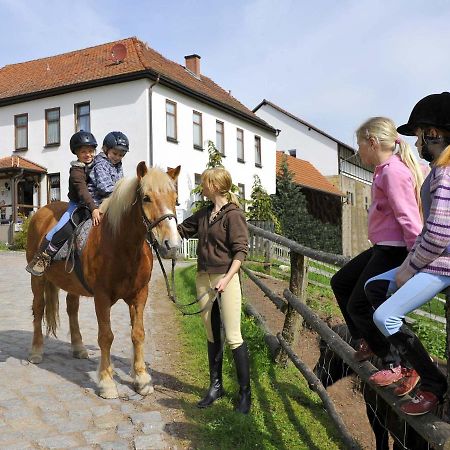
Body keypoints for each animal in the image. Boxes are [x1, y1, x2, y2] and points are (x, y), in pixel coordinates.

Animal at [25, 162, 181, 398]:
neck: (120, 244)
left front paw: (142, 379)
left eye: (175, 198)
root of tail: (41, 212)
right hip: (38, 280)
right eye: (146, 198)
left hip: (72, 284)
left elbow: (138, 334)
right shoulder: (102, 297)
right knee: (39, 308)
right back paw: (36, 351)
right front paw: (107, 382)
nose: (171, 245)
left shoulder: (139, 295)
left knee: (72, 308)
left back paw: (78, 348)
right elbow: (106, 336)